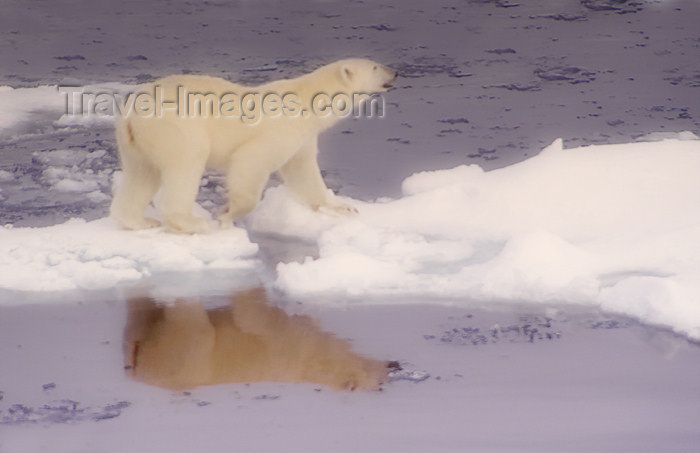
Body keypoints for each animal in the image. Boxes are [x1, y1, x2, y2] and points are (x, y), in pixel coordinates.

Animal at [108, 57, 394, 231]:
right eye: (375, 67)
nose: (395, 71)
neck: (306, 100)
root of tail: (131, 114)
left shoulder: (301, 137)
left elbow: (304, 172)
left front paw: (343, 207)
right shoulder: (277, 130)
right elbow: (250, 163)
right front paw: (226, 214)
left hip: (134, 142)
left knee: (141, 174)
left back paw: (141, 221)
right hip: (176, 128)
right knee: (186, 164)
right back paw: (193, 223)